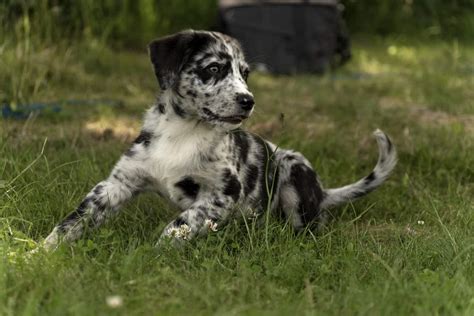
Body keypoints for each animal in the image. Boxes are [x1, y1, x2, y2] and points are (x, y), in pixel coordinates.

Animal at [42, 28, 398, 248]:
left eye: (245, 73)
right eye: (213, 69)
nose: (248, 100)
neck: (182, 132)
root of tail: (323, 194)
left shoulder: (223, 193)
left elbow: (181, 222)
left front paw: (157, 254)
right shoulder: (118, 182)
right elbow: (75, 219)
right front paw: (42, 255)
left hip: (292, 167)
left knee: (306, 226)